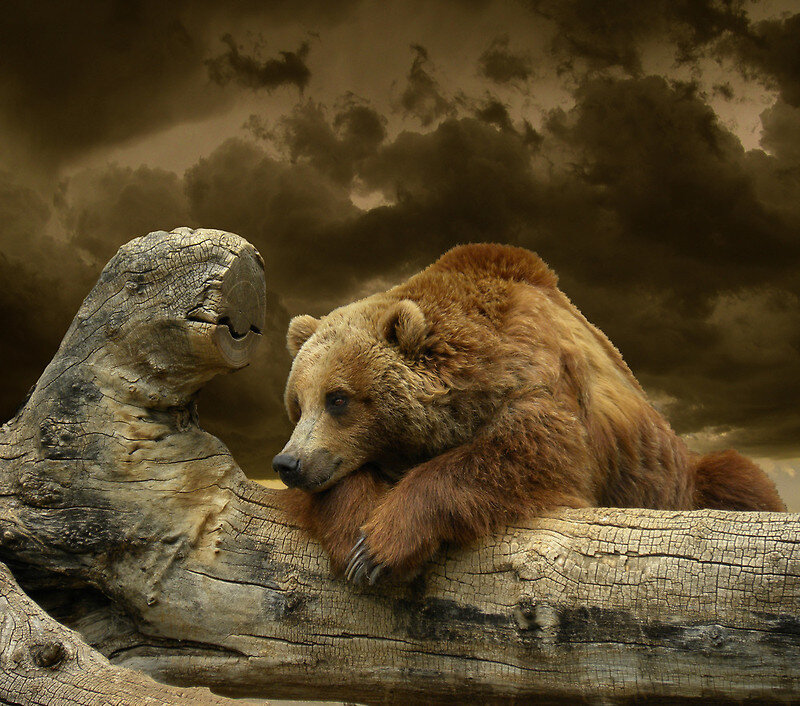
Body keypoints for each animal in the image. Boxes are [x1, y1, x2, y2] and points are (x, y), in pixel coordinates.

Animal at [274, 243, 785, 584]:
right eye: (298, 403)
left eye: (338, 398)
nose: (287, 463)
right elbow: (339, 486)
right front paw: (355, 537)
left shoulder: (543, 383)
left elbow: (525, 457)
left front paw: (383, 543)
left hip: (680, 482)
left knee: (738, 480)